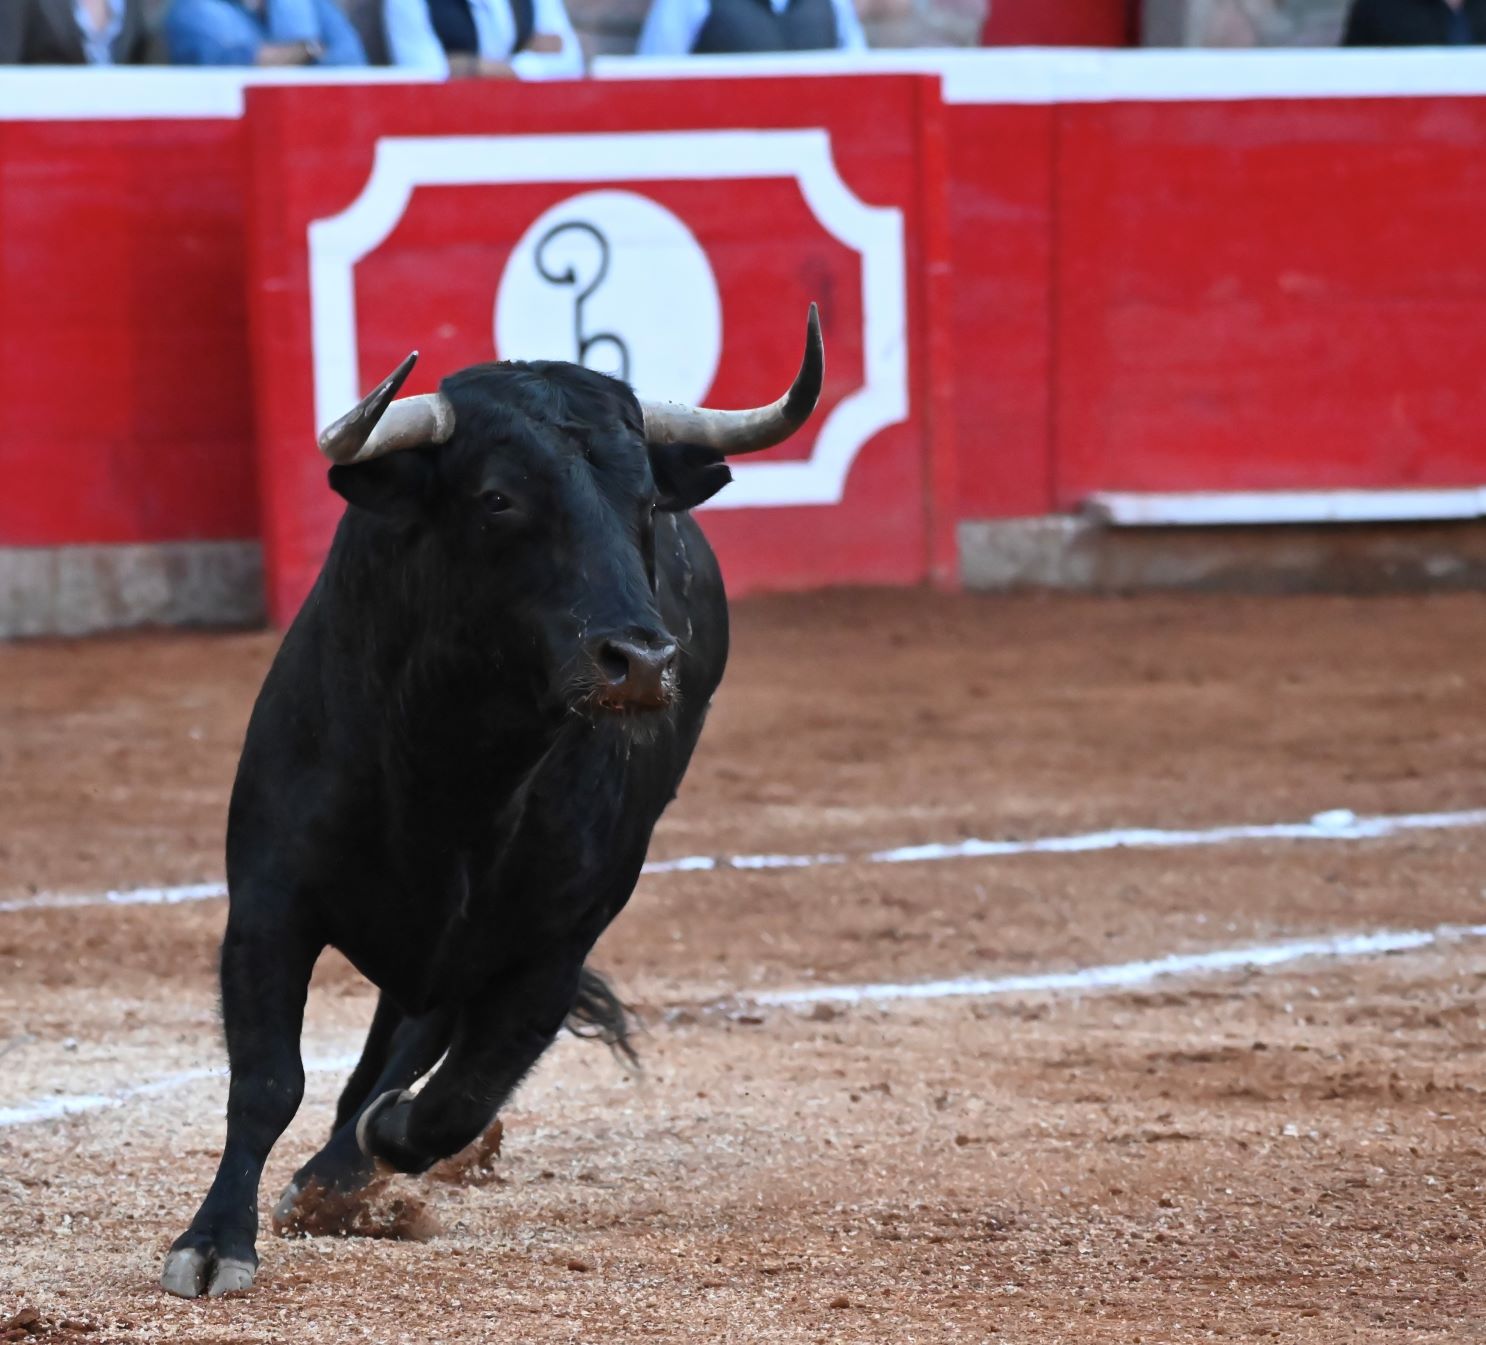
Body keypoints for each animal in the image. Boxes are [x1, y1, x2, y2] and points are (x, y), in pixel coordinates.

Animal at [160, 307, 824, 1298]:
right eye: (499, 499)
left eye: (645, 503)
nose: (641, 661)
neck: (454, 768)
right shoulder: (269, 901)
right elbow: (269, 1076)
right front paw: (212, 1241)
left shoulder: (553, 946)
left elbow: (455, 1098)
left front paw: (369, 1150)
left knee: (418, 1051)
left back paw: (343, 1168)